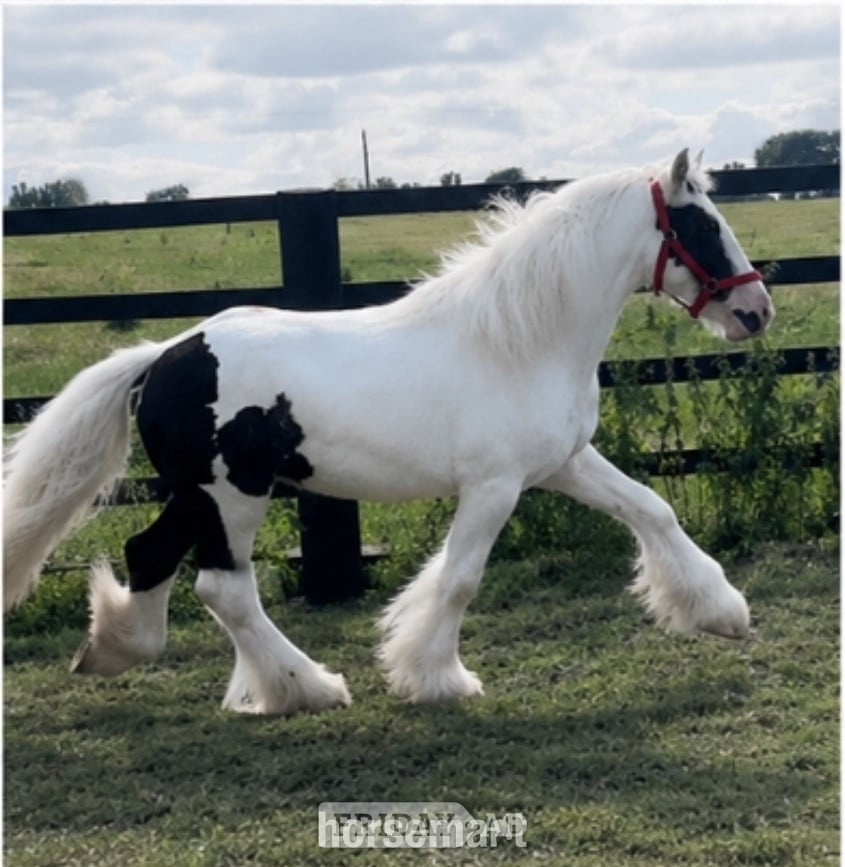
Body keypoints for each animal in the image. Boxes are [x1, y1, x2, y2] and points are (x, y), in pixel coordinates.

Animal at [3, 149, 773, 715]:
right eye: (704, 226)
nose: (757, 310)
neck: (520, 343)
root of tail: (164, 355)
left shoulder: (564, 462)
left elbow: (653, 508)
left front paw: (721, 613)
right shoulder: (493, 486)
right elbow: (459, 579)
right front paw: (435, 677)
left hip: (199, 496)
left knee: (150, 553)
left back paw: (118, 649)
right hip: (231, 496)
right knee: (222, 588)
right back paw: (306, 687)